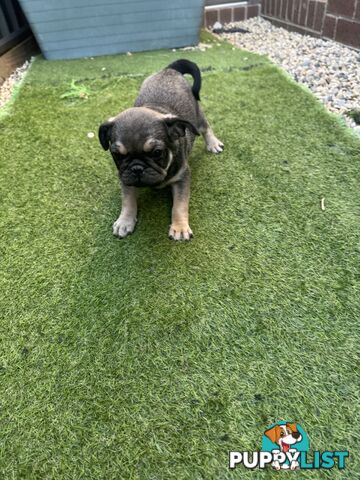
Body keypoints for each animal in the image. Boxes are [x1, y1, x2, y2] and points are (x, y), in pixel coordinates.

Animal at [98, 59, 222, 240]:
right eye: (117, 155)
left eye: (157, 153)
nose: (137, 168)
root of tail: (169, 69)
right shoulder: (126, 177)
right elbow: (127, 200)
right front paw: (125, 221)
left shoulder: (182, 177)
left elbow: (179, 205)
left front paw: (179, 227)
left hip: (198, 115)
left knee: (206, 128)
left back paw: (213, 143)